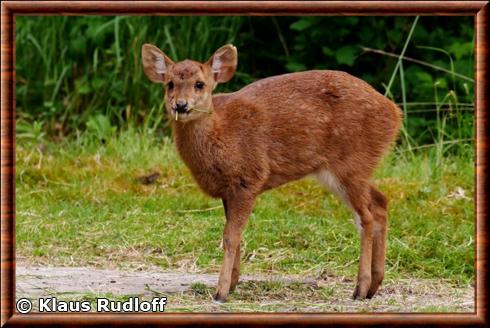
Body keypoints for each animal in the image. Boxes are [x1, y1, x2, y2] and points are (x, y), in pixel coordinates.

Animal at [142, 43, 402, 302]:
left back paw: (360, 289)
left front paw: (221, 292)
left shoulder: (249, 178)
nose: (180, 105)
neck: (221, 134)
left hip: (350, 163)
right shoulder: (228, 190)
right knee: (380, 203)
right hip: (349, 169)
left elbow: (230, 237)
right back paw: (374, 286)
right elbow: (235, 235)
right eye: (170, 84)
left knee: (365, 217)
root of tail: (394, 113)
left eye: (199, 84)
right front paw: (233, 283)